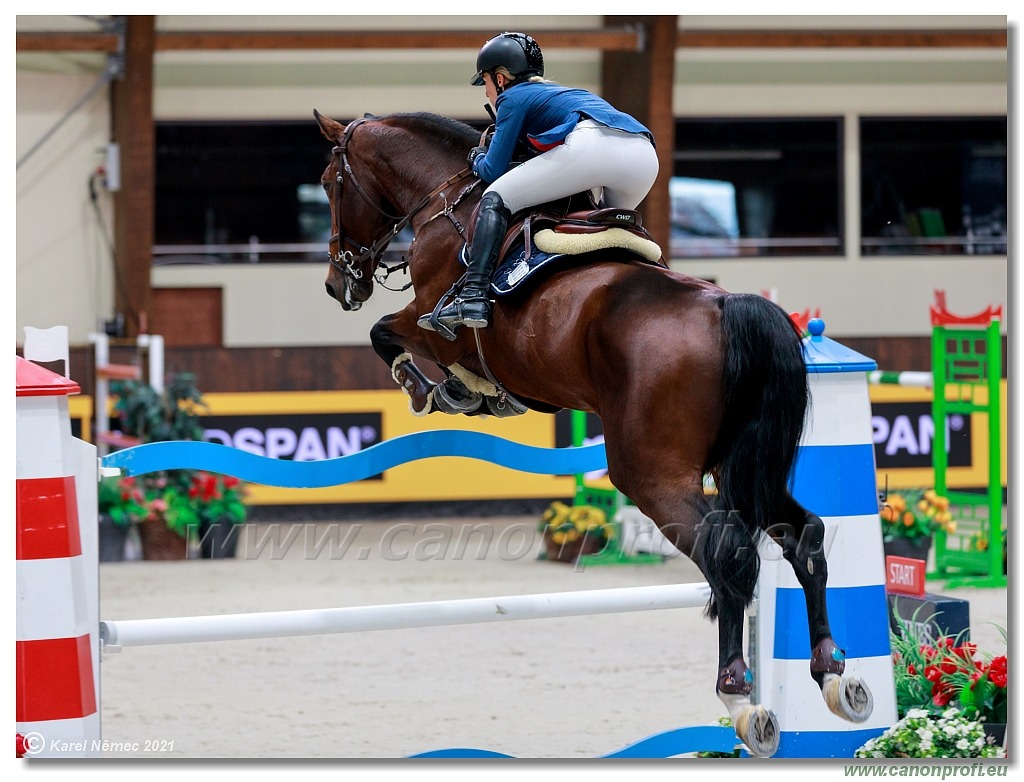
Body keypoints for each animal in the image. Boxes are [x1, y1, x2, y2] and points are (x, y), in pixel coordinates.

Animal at [313, 110, 872, 757]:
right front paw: (466, 392)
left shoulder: (431, 323)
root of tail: (727, 305)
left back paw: (739, 698)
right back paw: (835, 676)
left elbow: (386, 333)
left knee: (726, 550)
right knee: (803, 535)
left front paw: (433, 387)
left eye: (329, 184)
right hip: (748, 467)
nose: (338, 284)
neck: (447, 201)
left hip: (651, 472)